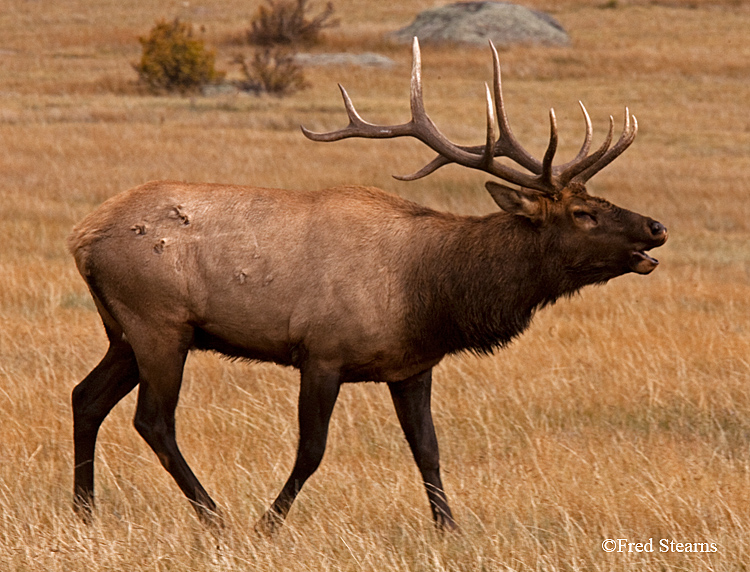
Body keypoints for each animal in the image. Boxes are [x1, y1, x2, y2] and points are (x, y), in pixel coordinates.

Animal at [68, 38, 667, 534]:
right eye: (583, 213)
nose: (656, 227)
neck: (430, 294)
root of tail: (82, 237)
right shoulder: (322, 352)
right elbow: (311, 450)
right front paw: (269, 524)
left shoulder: (412, 367)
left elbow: (428, 450)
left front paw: (450, 529)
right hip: (159, 324)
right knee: (153, 420)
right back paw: (214, 515)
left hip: (124, 332)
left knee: (85, 397)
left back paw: (84, 510)